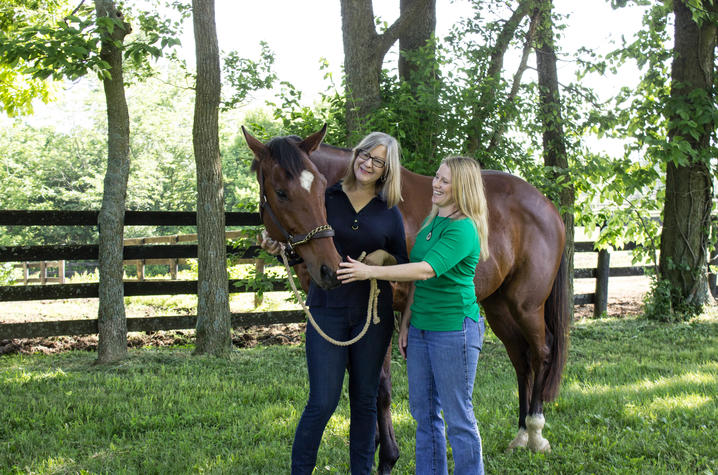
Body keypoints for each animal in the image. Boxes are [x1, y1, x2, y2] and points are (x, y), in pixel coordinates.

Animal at [245, 124, 572, 474]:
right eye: (281, 192)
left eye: (319, 188)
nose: (328, 269)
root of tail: (546, 205)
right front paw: (375, 446)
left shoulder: (383, 311)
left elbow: (380, 387)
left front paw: (387, 457)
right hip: (498, 306)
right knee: (521, 359)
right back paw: (521, 434)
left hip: (526, 305)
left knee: (541, 352)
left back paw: (535, 433)